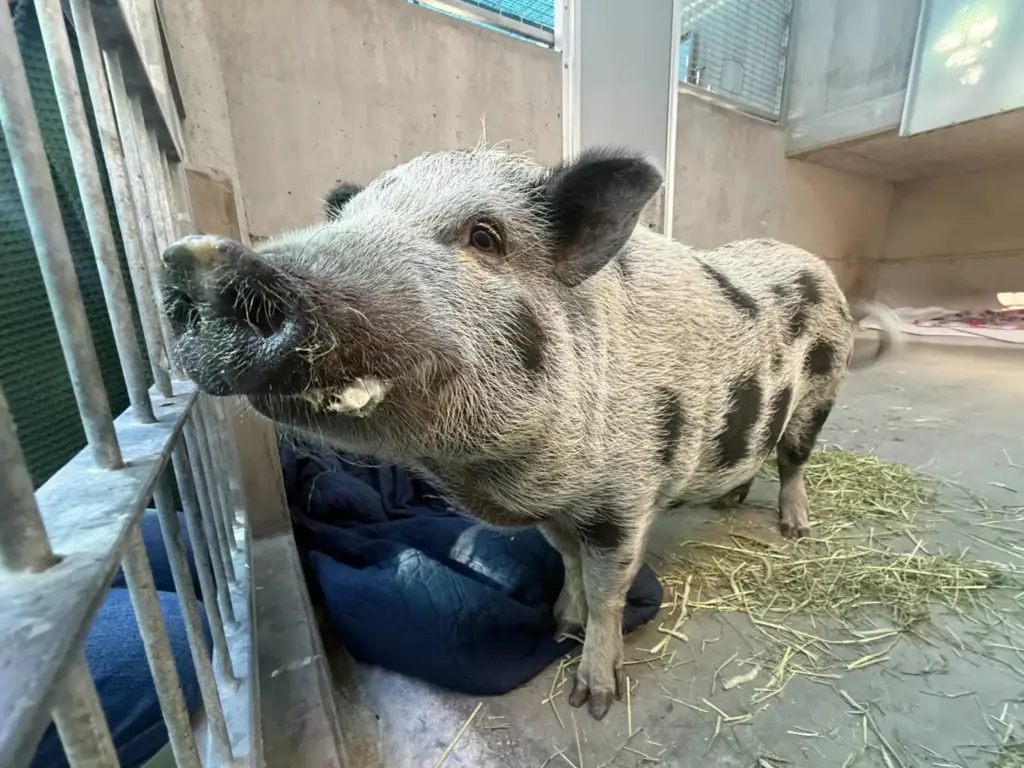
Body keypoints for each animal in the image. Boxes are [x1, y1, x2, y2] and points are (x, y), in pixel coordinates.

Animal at [159, 146, 902, 721]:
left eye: (485, 237)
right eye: (346, 217)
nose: (198, 260)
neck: (512, 478)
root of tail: (815, 266)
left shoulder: (624, 500)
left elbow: (610, 593)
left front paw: (593, 698)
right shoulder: (555, 513)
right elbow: (566, 564)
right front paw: (559, 622)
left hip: (822, 393)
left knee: (794, 458)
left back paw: (794, 528)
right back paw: (726, 502)